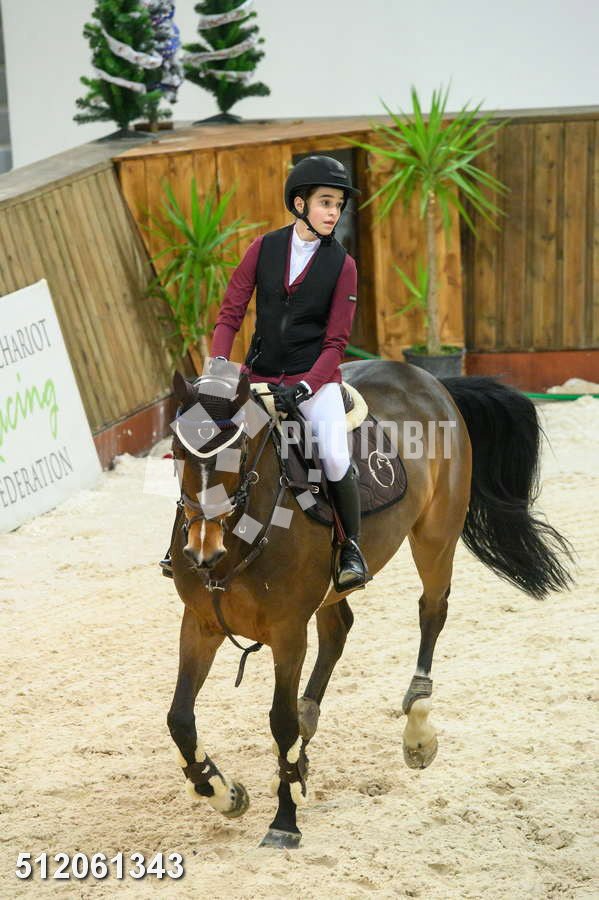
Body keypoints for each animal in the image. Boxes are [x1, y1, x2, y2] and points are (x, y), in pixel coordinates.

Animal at [165, 359, 573, 849]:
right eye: (176, 448)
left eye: (241, 450)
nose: (202, 550)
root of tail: (425, 378)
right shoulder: (200, 623)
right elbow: (179, 719)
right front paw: (224, 793)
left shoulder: (288, 632)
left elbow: (280, 723)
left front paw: (284, 821)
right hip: (334, 589)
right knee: (338, 630)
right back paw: (307, 736)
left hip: (436, 536)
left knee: (432, 611)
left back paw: (417, 729)